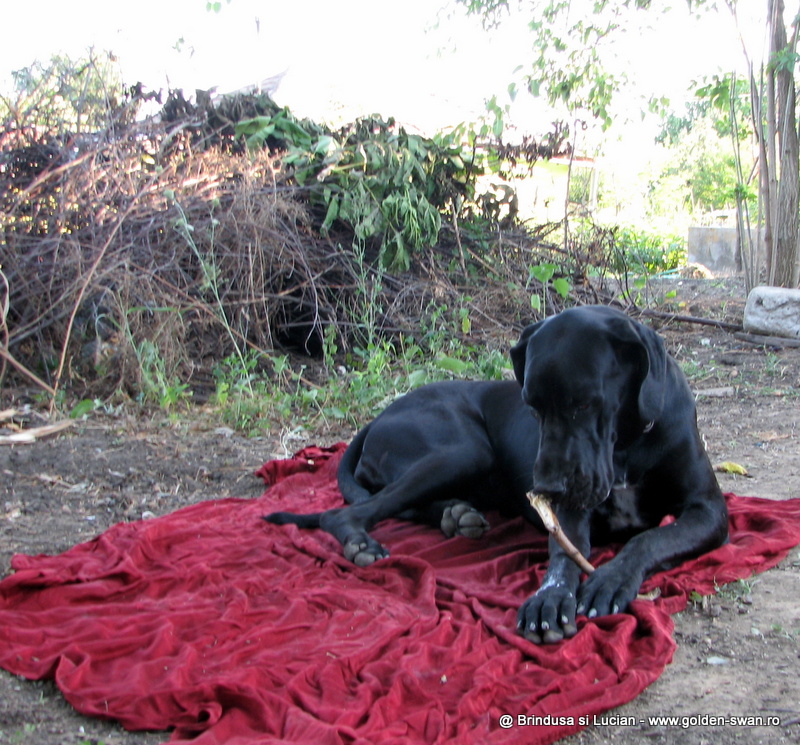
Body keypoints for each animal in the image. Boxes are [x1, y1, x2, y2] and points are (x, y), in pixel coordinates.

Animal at [265, 306, 729, 644]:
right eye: (532, 406)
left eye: (584, 403)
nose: (546, 488)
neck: (628, 445)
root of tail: (378, 416)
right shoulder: (571, 512)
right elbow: (565, 555)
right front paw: (550, 597)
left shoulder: (709, 510)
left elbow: (651, 539)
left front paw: (610, 578)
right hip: (464, 450)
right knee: (346, 511)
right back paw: (365, 542)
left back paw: (455, 516)